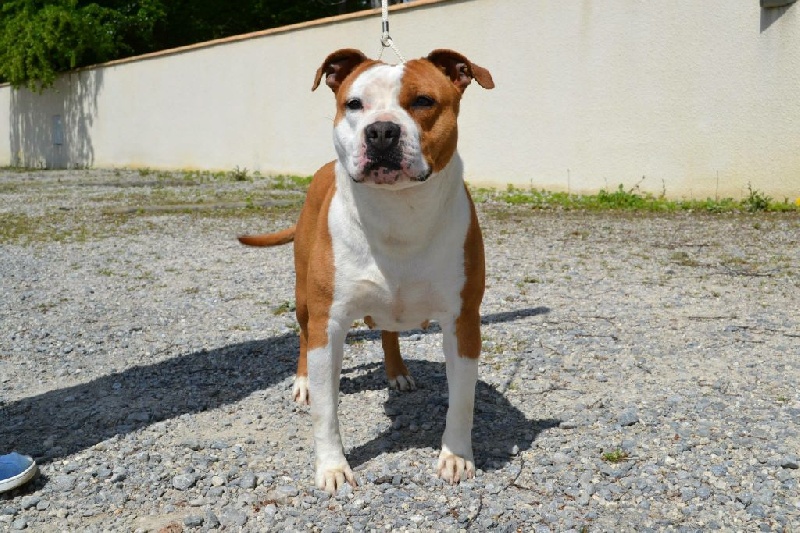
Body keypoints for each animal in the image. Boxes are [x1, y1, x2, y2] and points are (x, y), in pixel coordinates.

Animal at [239, 48, 494, 493]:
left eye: (423, 101)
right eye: (354, 104)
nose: (381, 132)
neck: (398, 211)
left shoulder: (463, 321)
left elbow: (462, 400)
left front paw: (456, 457)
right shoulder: (328, 323)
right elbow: (327, 409)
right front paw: (332, 467)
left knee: (389, 331)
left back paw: (397, 373)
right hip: (304, 298)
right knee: (302, 334)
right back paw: (303, 382)